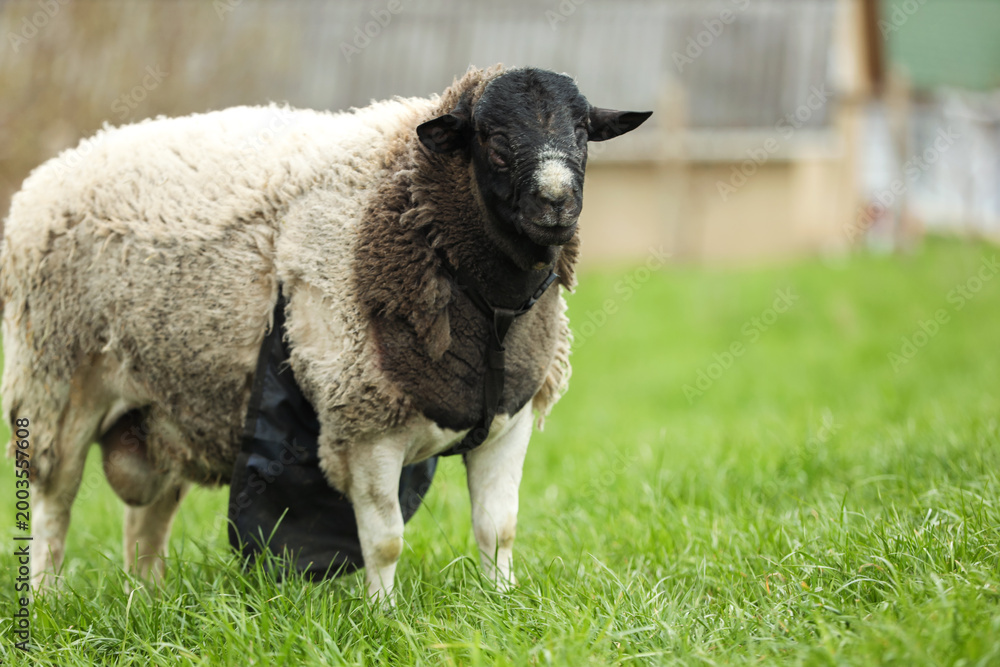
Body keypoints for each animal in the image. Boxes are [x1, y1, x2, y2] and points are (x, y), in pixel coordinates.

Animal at [1, 64, 651, 599]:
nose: (555, 202)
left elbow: (499, 529)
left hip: (164, 406)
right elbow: (385, 540)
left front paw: (501, 605)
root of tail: (56, 168)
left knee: (146, 521)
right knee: (54, 505)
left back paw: (151, 601)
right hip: (59, 383)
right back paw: (47, 598)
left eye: (582, 132)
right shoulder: (364, 425)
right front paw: (385, 617)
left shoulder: (505, 422)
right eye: (492, 138)